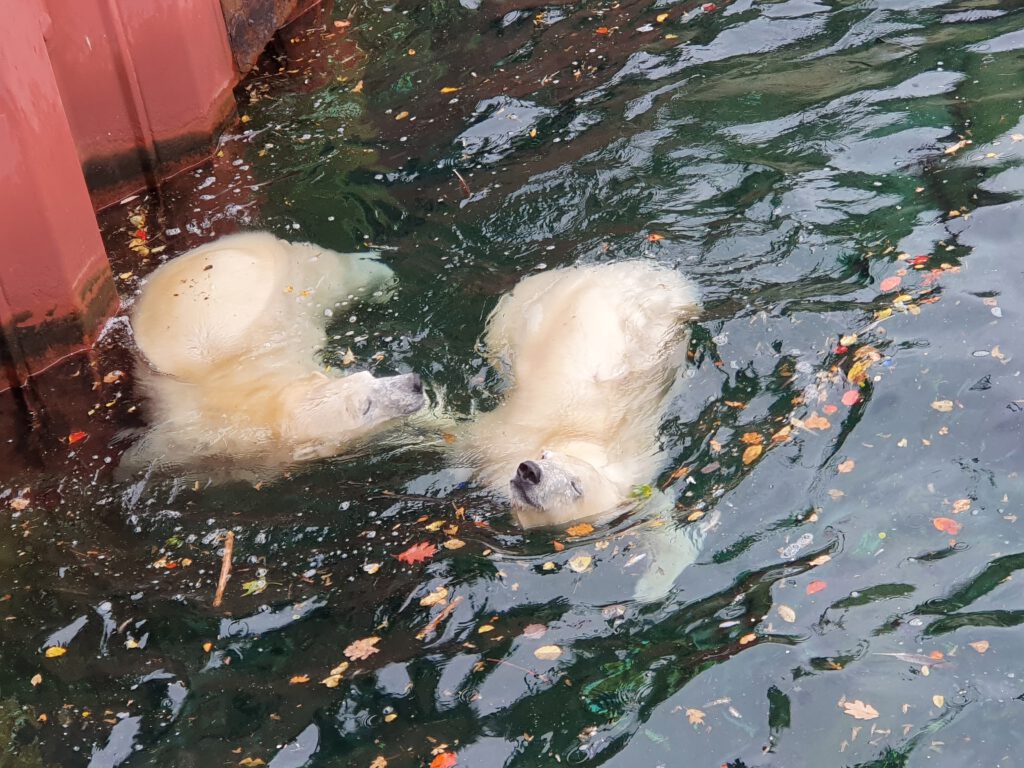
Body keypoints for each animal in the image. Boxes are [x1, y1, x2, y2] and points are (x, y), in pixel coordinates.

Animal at [460, 259, 700, 528]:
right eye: (544, 455)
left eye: (575, 486)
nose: (530, 470)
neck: (582, 444)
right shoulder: (501, 446)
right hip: (526, 305)